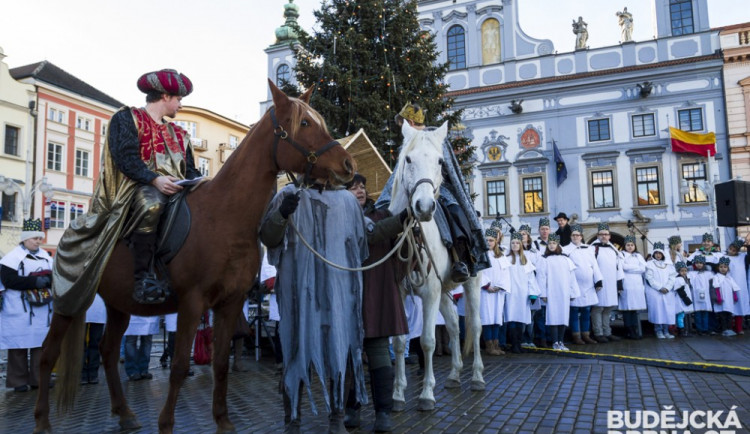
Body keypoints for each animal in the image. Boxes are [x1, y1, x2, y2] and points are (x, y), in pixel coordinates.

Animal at [31, 81, 356, 434]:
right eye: (305, 123)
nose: (348, 167)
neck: (225, 217)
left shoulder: (230, 304)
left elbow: (220, 364)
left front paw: (223, 420)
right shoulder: (192, 302)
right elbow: (177, 366)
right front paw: (166, 424)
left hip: (119, 304)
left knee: (106, 351)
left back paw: (125, 413)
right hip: (70, 299)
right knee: (47, 354)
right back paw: (42, 421)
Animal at [388, 120, 488, 412]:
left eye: (440, 161)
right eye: (408, 159)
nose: (424, 206)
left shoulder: (430, 293)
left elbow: (427, 341)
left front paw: (426, 395)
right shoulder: (400, 292)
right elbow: (400, 341)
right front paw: (398, 394)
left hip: (471, 283)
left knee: (475, 326)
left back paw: (477, 377)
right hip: (445, 290)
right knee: (454, 325)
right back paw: (454, 375)